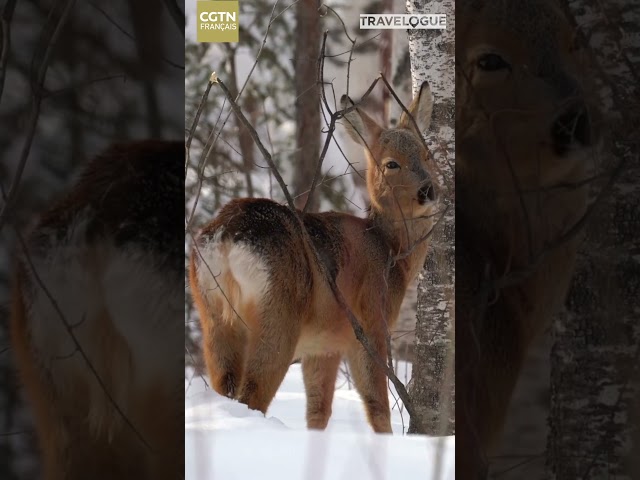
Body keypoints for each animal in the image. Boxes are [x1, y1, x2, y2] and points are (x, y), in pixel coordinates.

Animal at [190, 82, 440, 436]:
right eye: (391, 163)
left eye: (427, 155)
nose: (428, 190)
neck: (391, 251)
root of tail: (226, 234)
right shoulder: (368, 324)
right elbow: (377, 405)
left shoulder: (323, 345)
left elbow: (318, 411)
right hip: (277, 315)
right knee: (252, 394)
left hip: (212, 314)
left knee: (224, 386)